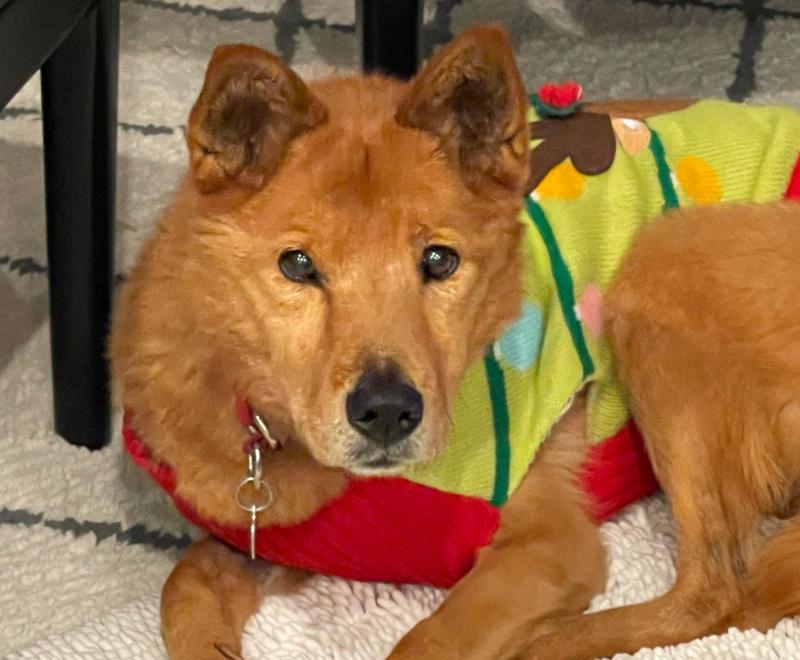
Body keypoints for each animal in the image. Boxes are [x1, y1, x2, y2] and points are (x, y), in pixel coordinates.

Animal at [109, 23, 800, 656]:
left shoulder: (548, 546)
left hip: (662, 252)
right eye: (298, 265)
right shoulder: (272, 541)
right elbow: (184, 584)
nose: (387, 412)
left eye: (440, 260)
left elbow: (423, 643)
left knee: (718, 591)